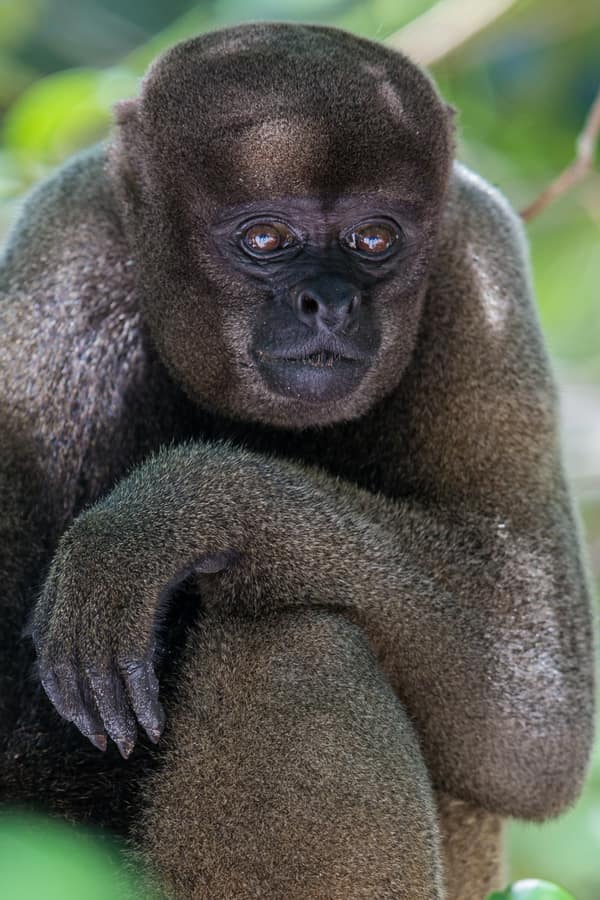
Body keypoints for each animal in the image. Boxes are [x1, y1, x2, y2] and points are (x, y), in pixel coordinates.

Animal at [0, 21, 594, 900]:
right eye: (266, 239)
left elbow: (539, 715)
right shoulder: (57, 253)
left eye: (375, 237)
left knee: (292, 641)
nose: (331, 301)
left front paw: (170, 513)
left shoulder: (480, 261)